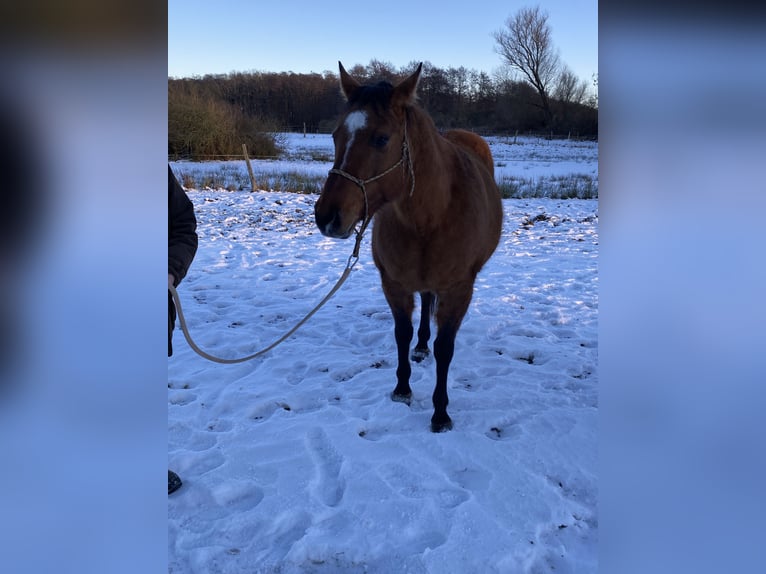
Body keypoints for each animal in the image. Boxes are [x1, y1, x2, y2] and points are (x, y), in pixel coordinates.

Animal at [314, 62, 503, 432]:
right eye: (335, 136)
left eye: (381, 139)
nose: (327, 216)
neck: (430, 216)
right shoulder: (394, 284)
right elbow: (401, 333)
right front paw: (402, 388)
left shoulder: (459, 290)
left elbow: (446, 348)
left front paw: (440, 412)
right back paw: (420, 346)